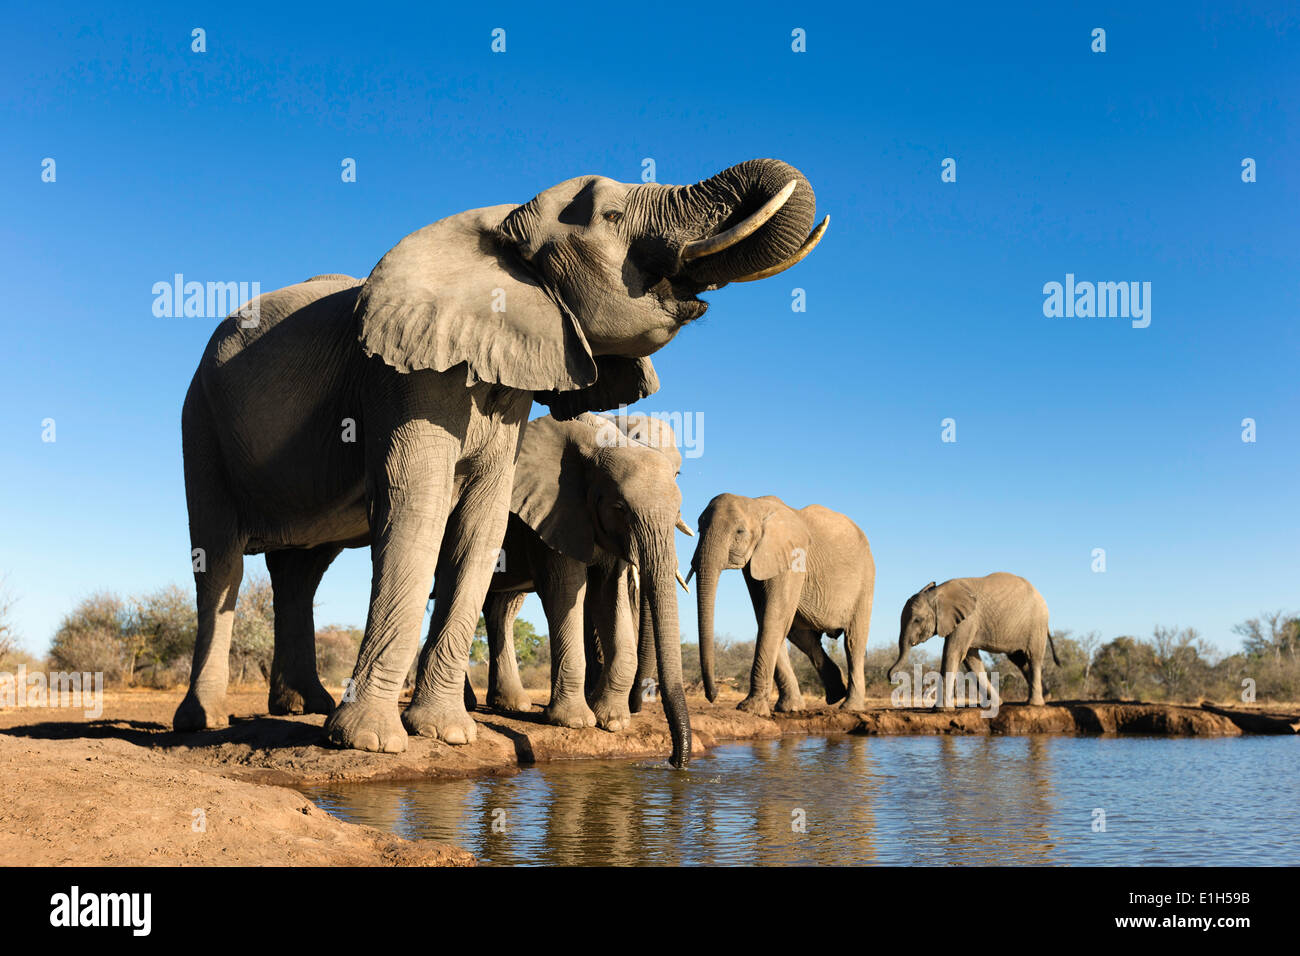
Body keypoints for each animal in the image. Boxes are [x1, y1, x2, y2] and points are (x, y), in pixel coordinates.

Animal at [172, 157, 826, 764]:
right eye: (612, 217)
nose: (677, 760)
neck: (503, 226)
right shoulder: (402, 375)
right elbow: (420, 510)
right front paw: (372, 743)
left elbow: (481, 522)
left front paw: (447, 733)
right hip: (199, 417)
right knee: (220, 561)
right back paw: (204, 722)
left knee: (302, 571)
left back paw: (305, 706)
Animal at [686, 496, 878, 712]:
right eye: (699, 529)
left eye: (740, 531)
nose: (713, 695)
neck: (755, 504)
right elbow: (766, 617)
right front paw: (789, 708)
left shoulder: (793, 557)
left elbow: (773, 616)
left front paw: (750, 709)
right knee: (802, 636)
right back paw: (836, 693)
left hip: (866, 580)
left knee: (854, 642)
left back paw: (850, 706)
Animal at [889, 572, 1060, 707]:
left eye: (917, 620)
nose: (893, 678)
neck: (938, 593)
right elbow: (970, 660)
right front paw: (995, 704)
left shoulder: (967, 619)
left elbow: (953, 653)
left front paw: (941, 709)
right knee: (1019, 660)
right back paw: (1046, 697)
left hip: (1036, 625)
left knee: (1033, 658)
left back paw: (1035, 704)